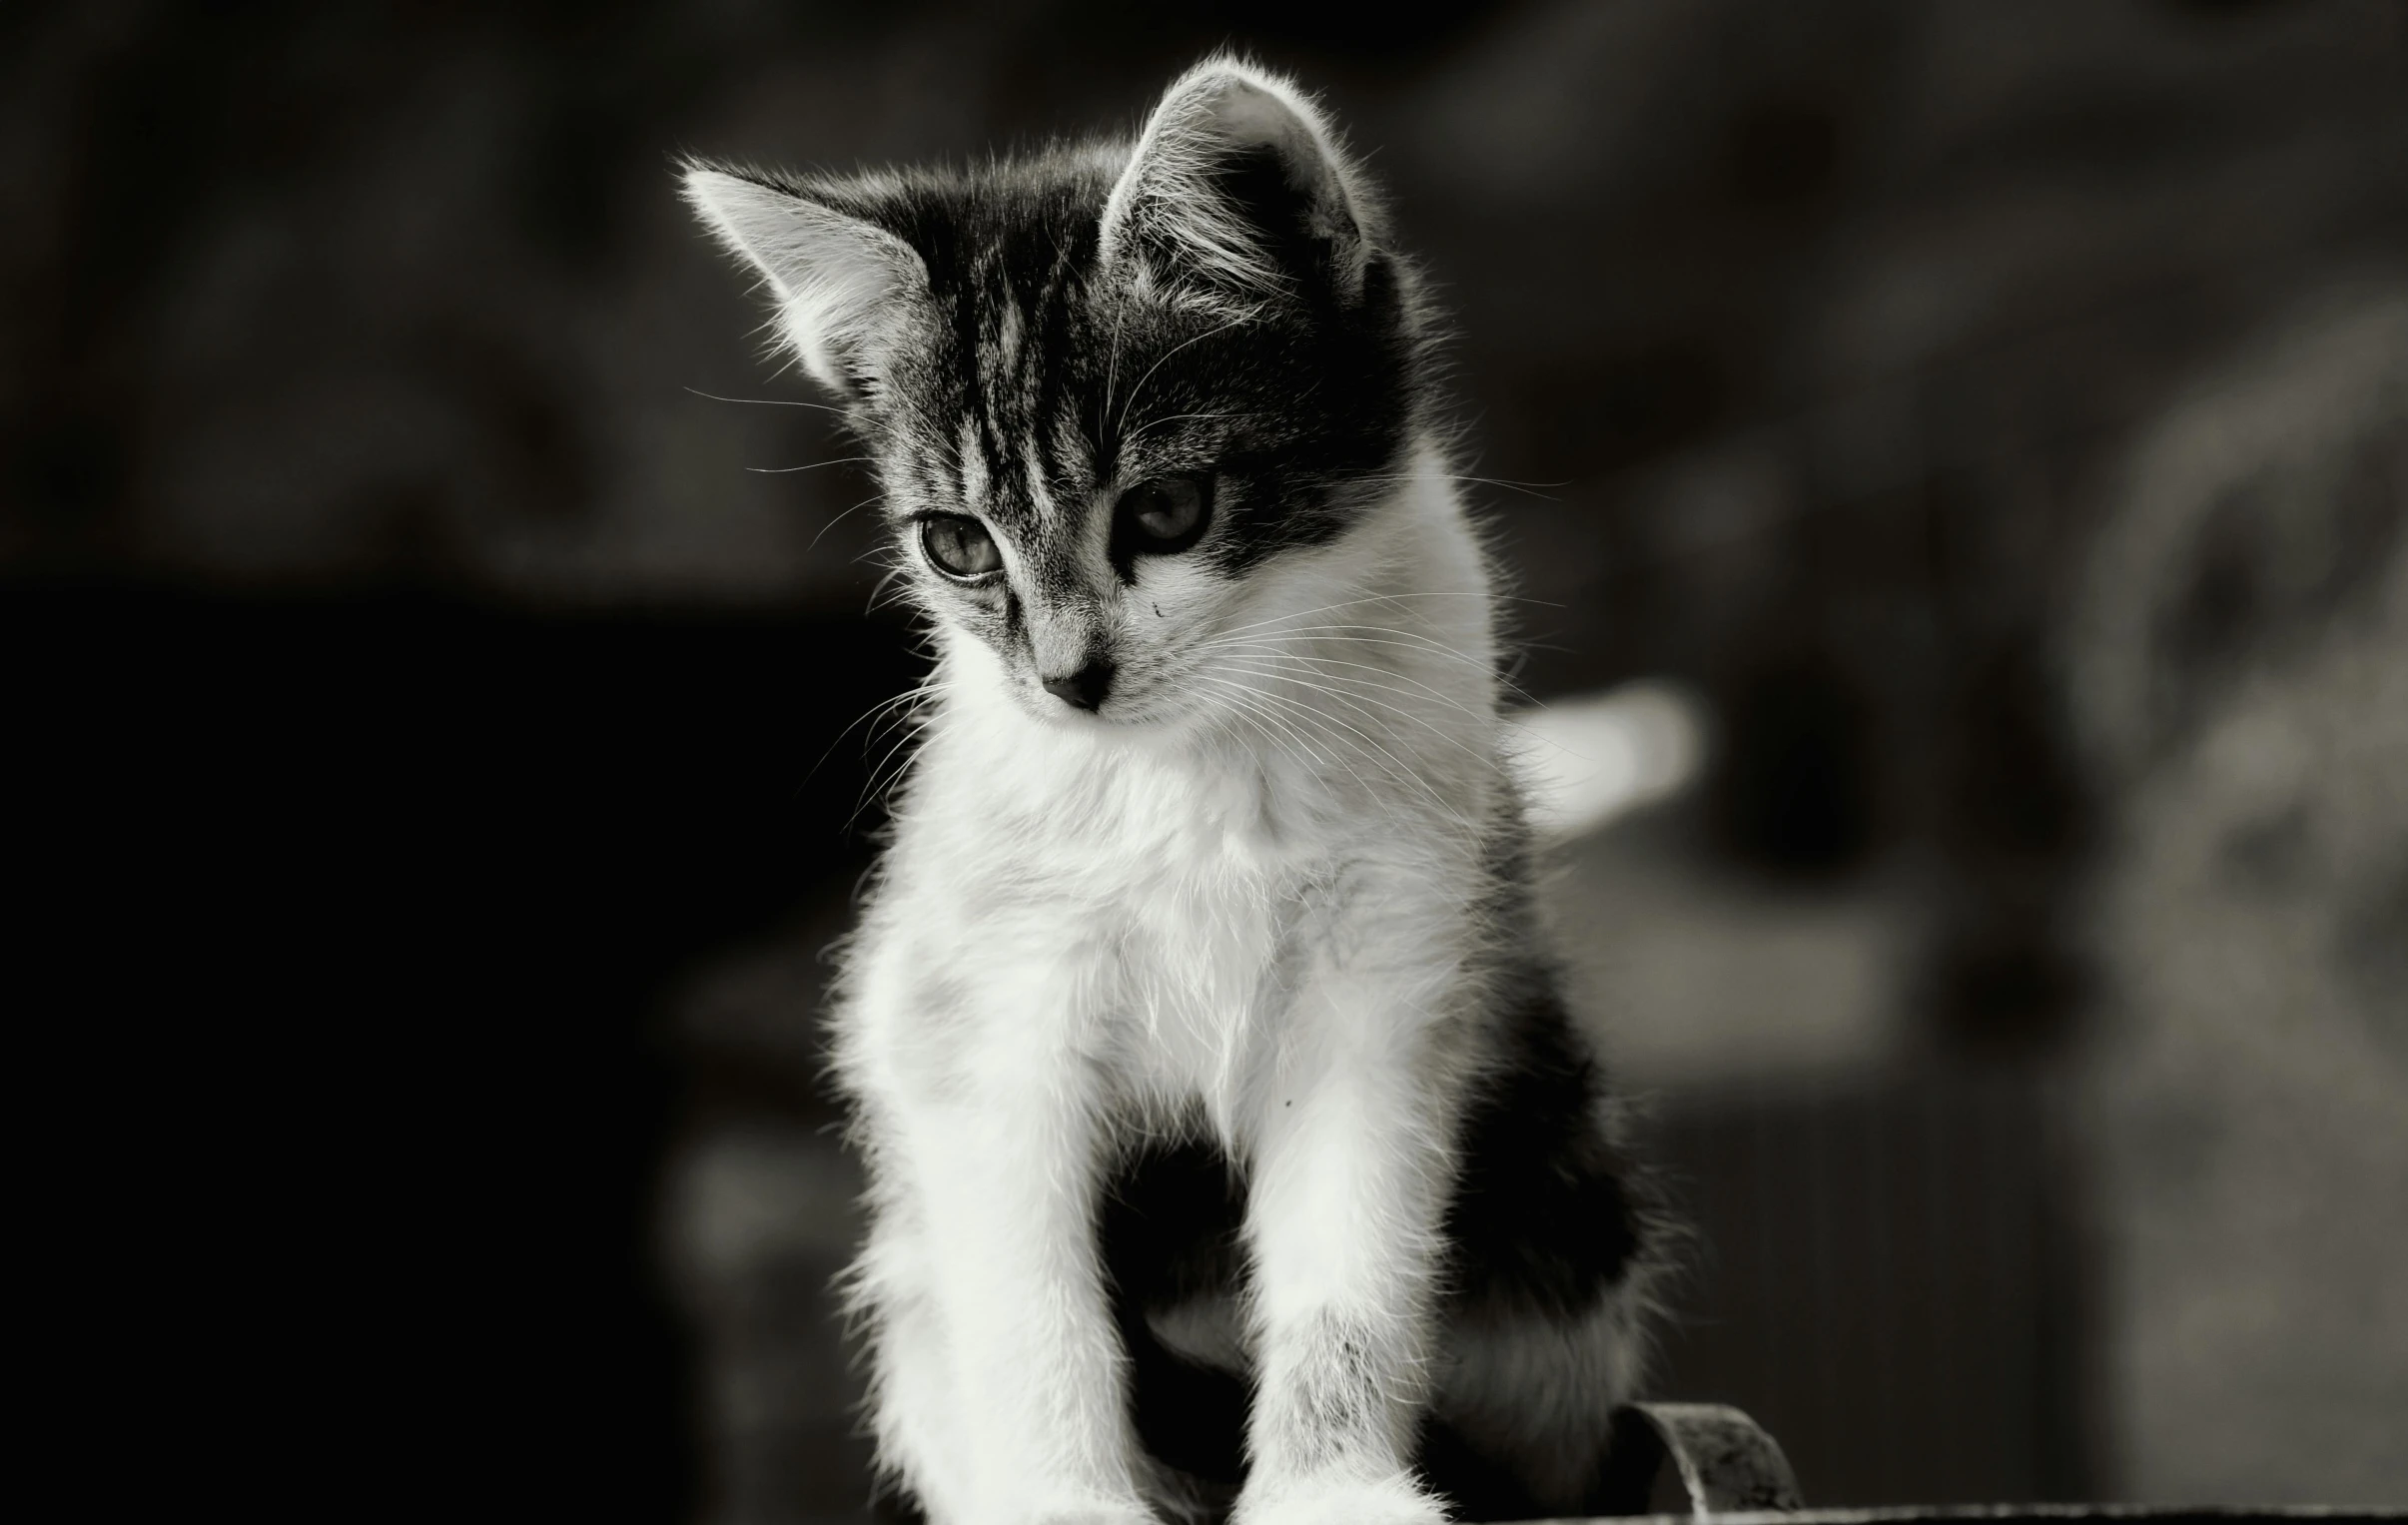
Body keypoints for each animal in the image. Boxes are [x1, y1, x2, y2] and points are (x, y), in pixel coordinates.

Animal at [678, 56, 1656, 1522]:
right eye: (956, 544)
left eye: (1166, 509)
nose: (1065, 678)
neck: (1196, 765)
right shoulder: (971, 1004)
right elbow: (1026, 1296)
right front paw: (1065, 1498)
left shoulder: (1388, 970)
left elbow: (1348, 1257)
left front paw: (1331, 1487)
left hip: (1554, 1170)